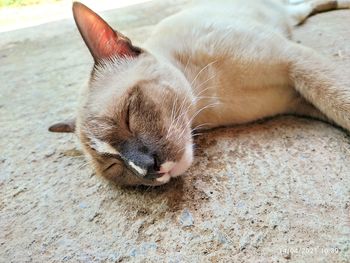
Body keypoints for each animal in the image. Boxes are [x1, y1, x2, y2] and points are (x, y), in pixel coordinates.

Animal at [48, 0, 350, 187]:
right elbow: (337, 110)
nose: (148, 168)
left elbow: (341, 101)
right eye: (114, 167)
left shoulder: (294, 62)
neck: (212, 99)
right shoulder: (298, 100)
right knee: (302, 10)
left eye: (129, 116)